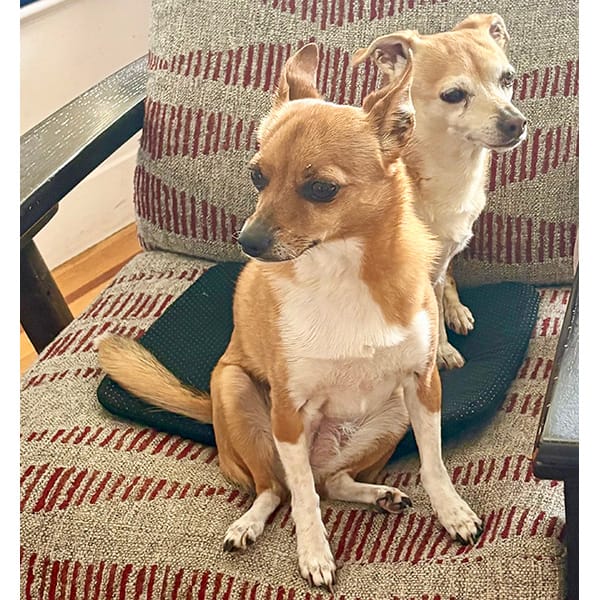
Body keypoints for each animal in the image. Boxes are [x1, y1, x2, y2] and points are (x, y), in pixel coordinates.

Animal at [97, 43, 483, 591]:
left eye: (321, 189)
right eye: (257, 176)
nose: (248, 242)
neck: (343, 270)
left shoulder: (423, 385)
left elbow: (434, 464)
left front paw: (451, 513)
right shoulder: (289, 412)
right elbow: (302, 497)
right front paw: (314, 554)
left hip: (390, 417)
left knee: (334, 480)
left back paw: (376, 493)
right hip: (238, 392)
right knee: (276, 488)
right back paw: (248, 524)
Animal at [353, 13, 528, 369]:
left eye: (507, 79)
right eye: (453, 95)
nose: (516, 123)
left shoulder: (435, 266)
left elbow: (434, 302)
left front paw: (442, 349)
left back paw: (455, 309)